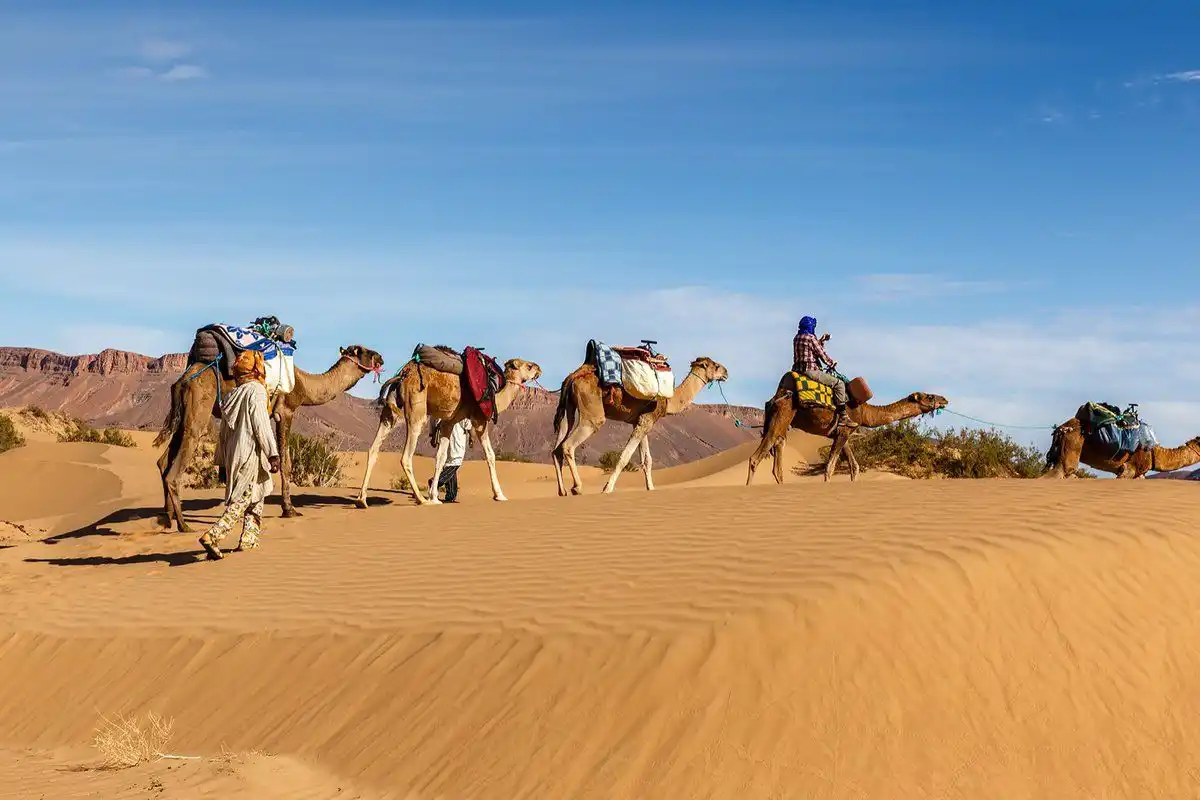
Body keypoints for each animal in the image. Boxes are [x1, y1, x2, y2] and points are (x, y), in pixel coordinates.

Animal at [155, 345, 385, 532]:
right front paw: (289, 509)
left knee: (164, 460)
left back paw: (168, 519)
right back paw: (184, 525)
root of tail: (183, 379)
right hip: (198, 409)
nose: (381, 357)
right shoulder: (286, 411)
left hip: (182, 414)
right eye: (365, 351)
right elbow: (286, 462)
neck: (303, 383)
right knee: (176, 466)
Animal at [356, 355, 542, 508]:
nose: (539, 369)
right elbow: (490, 455)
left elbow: (441, 457)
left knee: (373, 449)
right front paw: (500, 495)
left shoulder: (449, 422)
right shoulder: (479, 421)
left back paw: (362, 499)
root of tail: (402, 375)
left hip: (391, 413)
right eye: (529, 366)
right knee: (406, 456)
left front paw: (434, 496)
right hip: (416, 409)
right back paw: (420, 499)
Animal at [551, 357, 729, 495]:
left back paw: (562, 491)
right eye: (715, 365)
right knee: (569, 444)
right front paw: (607, 488)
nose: (726, 373)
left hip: (568, 409)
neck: (669, 400)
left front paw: (651, 488)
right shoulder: (646, 420)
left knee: (557, 448)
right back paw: (577, 488)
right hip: (592, 412)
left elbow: (647, 460)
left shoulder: (641, 421)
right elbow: (624, 457)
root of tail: (573, 377)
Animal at [745, 373, 948, 484]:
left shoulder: (844, 433)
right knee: (756, 457)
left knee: (777, 457)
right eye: (930, 396)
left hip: (781, 420)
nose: (944, 399)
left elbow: (855, 466)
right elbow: (829, 468)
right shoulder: (843, 431)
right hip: (783, 413)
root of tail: (775, 397)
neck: (865, 413)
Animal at [1044, 405, 1200, 478]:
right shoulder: (1129, 468)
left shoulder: (1140, 474)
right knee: (1064, 470)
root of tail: (1061, 428)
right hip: (1072, 442)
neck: (1154, 451)